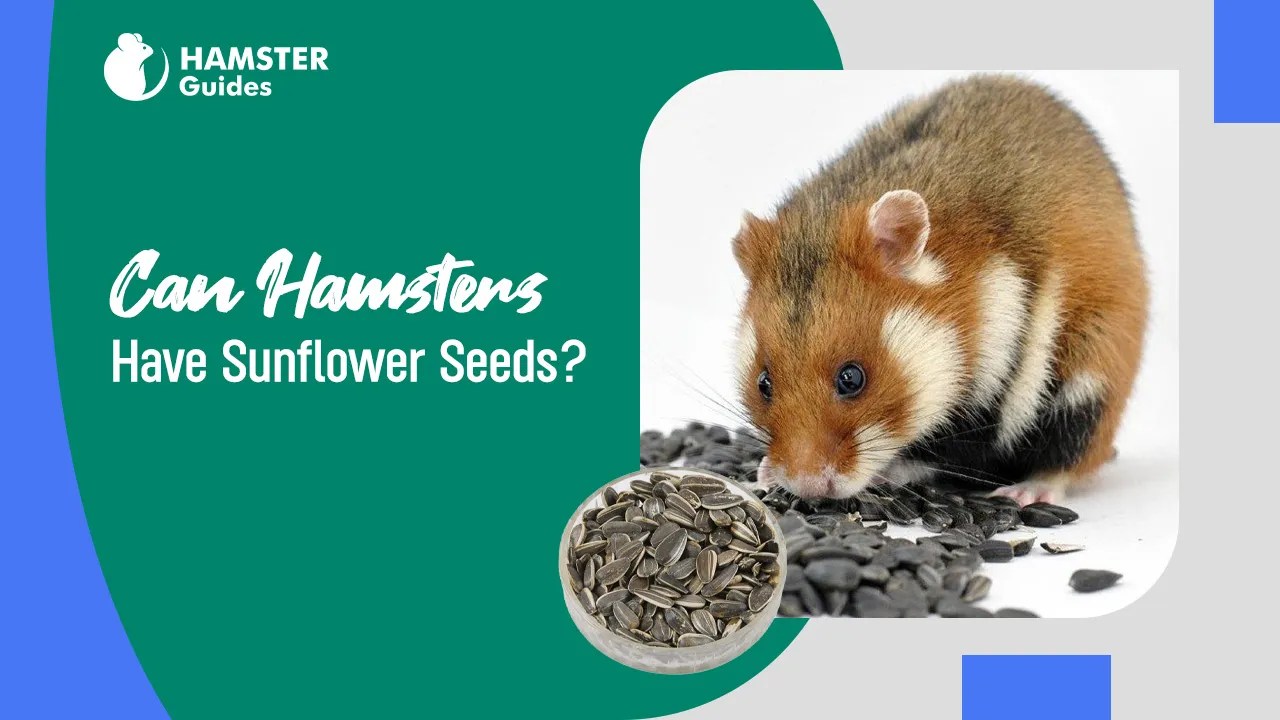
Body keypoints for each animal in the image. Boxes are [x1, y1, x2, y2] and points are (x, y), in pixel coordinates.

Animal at [731, 75, 1148, 506]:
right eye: (763, 383)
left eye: (851, 378)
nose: (807, 487)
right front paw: (763, 472)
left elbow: (950, 451)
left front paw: (887, 473)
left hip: (1092, 378)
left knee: (1069, 453)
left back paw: (1025, 493)